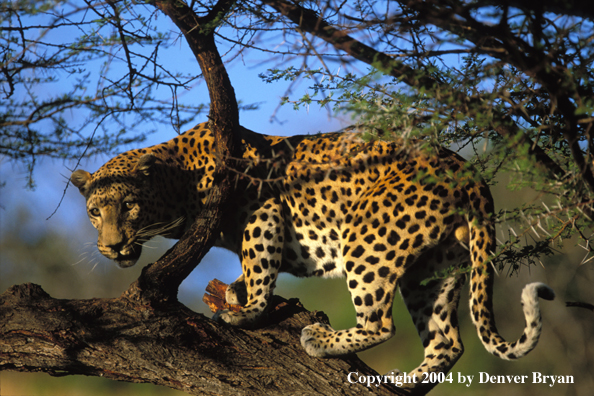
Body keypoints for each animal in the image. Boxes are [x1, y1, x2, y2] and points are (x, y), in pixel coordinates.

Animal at [71, 121, 552, 392]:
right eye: (95, 211)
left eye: (128, 206)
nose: (111, 245)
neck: (177, 184)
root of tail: (467, 171)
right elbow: (246, 268)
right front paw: (235, 293)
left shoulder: (262, 211)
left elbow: (259, 262)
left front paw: (247, 311)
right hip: (435, 267)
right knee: (447, 342)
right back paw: (404, 385)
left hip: (369, 238)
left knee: (381, 323)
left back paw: (321, 340)